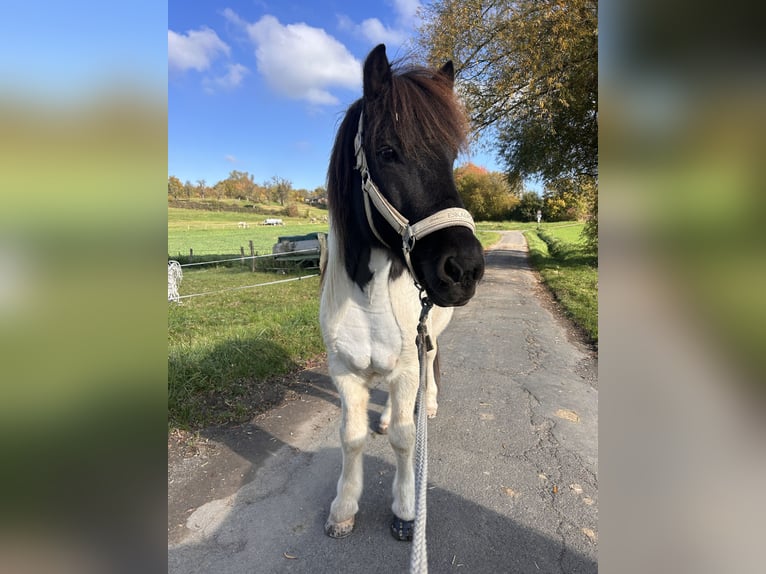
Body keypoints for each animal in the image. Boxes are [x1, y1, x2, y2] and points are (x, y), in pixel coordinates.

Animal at [320, 44, 486, 540]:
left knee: (429, 368)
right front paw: (343, 508)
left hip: (426, 343)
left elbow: (404, 439)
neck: (368, 298)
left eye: (450, 157)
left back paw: (425, 406)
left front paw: (406, 510)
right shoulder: (344, 373)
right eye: (387, 151)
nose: (465, 268)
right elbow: (351, 437)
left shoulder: (408, 364)